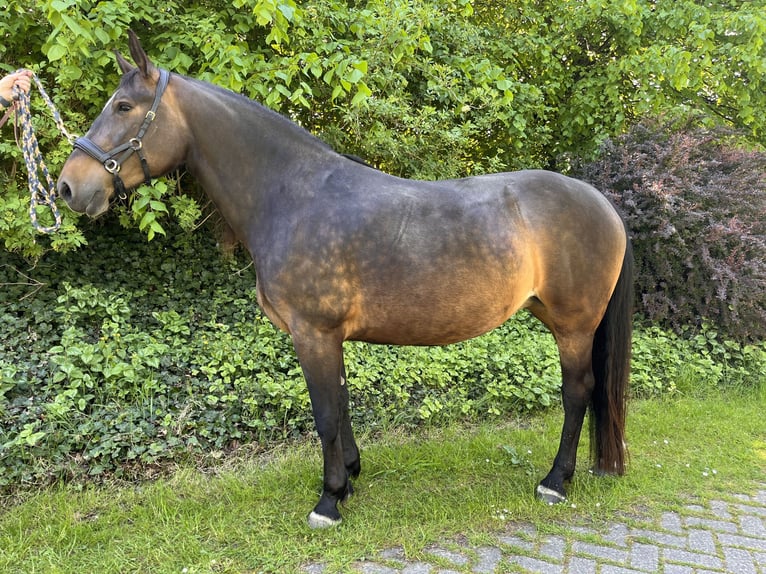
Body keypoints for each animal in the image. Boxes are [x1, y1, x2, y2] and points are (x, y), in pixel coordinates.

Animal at [57, 31, 633, 529]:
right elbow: (341, 402)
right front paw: (350, 477)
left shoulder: (313, 333)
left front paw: (329, 501)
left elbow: (326, 415)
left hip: (574, 326)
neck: (292, 195)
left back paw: (556, 481)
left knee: (577, 393)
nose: (67, 187)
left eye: (124, 107)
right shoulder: (329, 337)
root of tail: (603, 204)